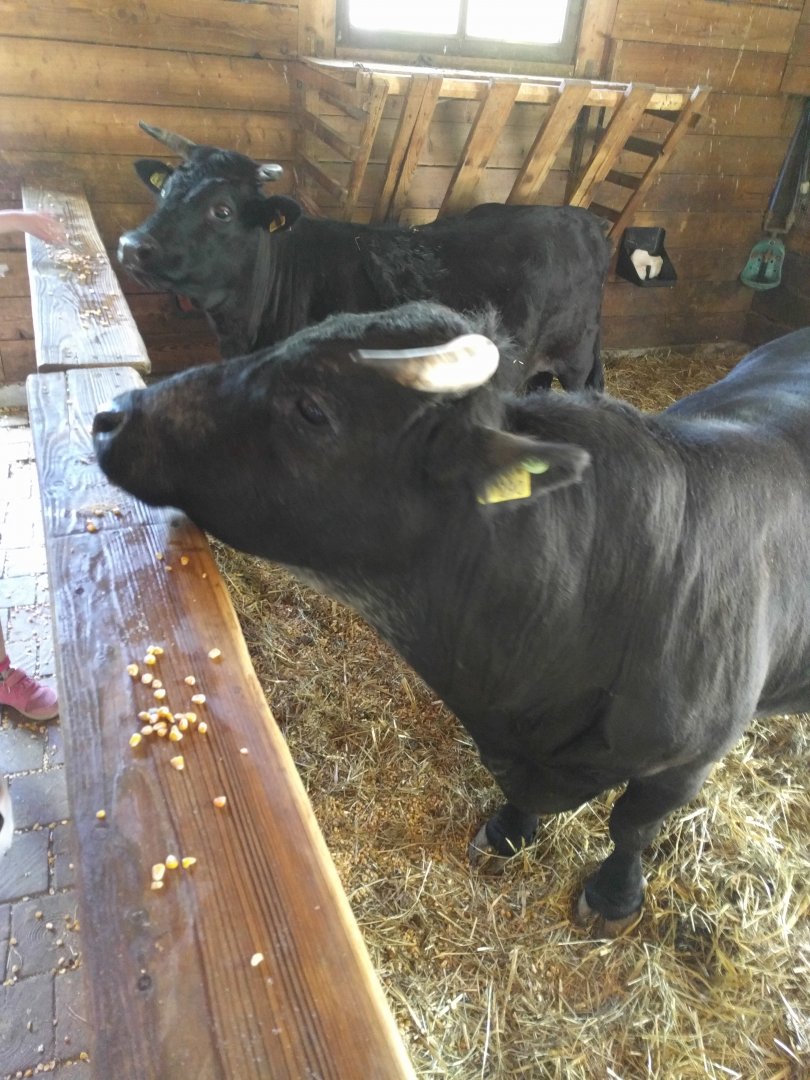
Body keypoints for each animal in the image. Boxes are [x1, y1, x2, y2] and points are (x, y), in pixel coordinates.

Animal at [91, 301, 810, 933]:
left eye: (313, 408)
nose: (111, 416)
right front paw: (508, 831)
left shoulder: (686, 760)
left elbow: (632, 826)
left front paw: (614, 896)